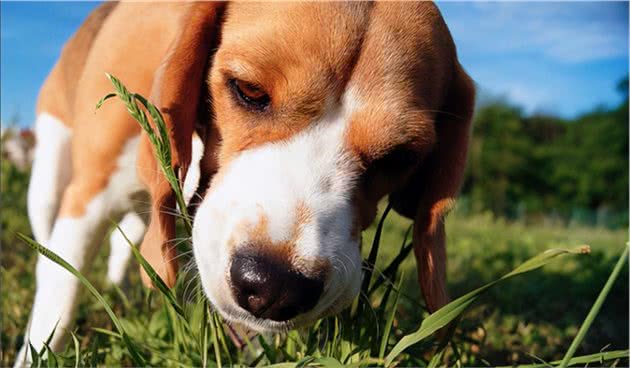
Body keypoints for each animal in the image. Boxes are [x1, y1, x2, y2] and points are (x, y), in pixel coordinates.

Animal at [17, 0, 476, 362]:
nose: (276, 288)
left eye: (400, 156)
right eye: (249, 91)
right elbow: (59, 296)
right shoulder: (88, 197)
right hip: (49, 176)